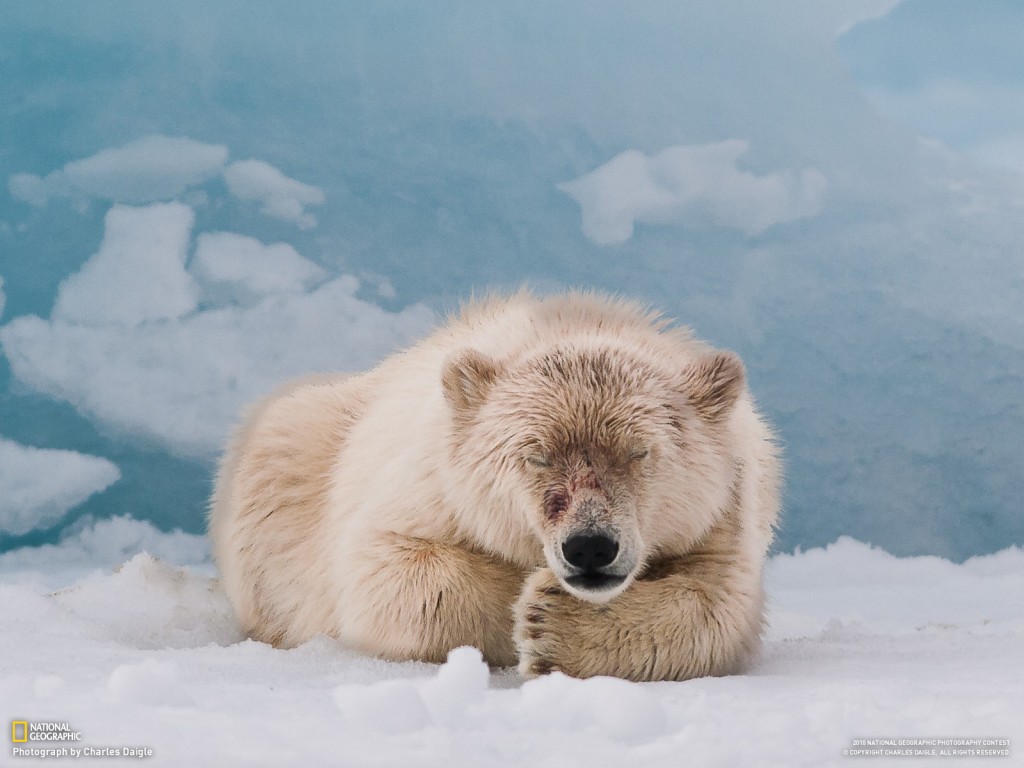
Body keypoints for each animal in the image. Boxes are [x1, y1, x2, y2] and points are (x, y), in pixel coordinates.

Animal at [211, 290, 778, 684]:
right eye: (535, 455)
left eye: (639, 452)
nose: (590, 546)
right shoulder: (431, 484)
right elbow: (389, 574)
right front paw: (527, 603)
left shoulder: (724, 509)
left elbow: (720, 604)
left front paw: (553, 622)